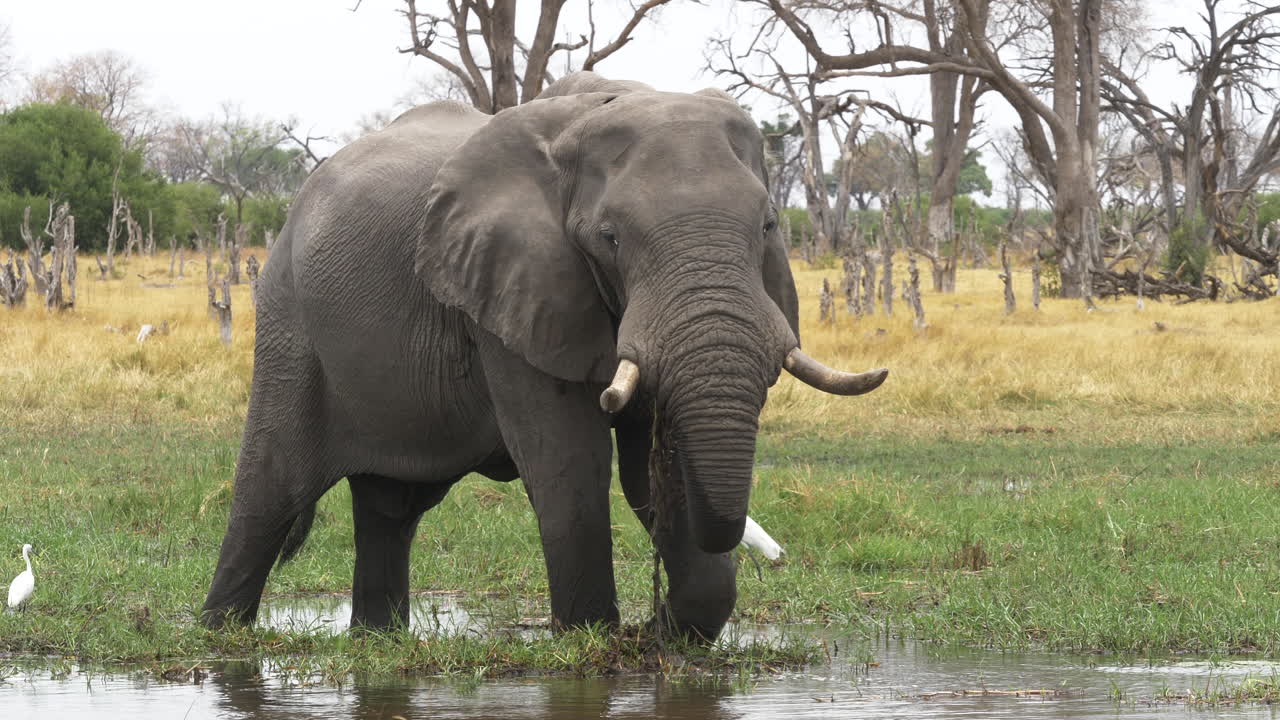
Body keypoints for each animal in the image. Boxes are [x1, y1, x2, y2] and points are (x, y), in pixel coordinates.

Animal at [200, 72, 887, 640]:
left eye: (768, 226)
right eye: (610, 238)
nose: (650, 625)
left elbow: (648, 467)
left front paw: (667, 637)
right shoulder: (507, 292)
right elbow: (569, 460)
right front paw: (593, 643)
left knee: (391, 506)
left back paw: (378, 641)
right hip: (289, 316)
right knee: (272, 487)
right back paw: (222, 636)